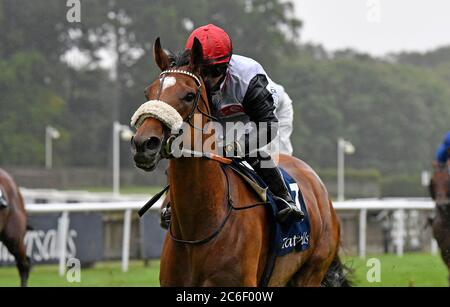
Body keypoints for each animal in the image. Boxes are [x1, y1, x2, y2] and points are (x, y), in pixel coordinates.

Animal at [131, 38, 348, 286]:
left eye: (188, 95)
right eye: (148, 93)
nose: (144, 143)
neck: (198, 228)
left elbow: (266, 124)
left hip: (312, 272)